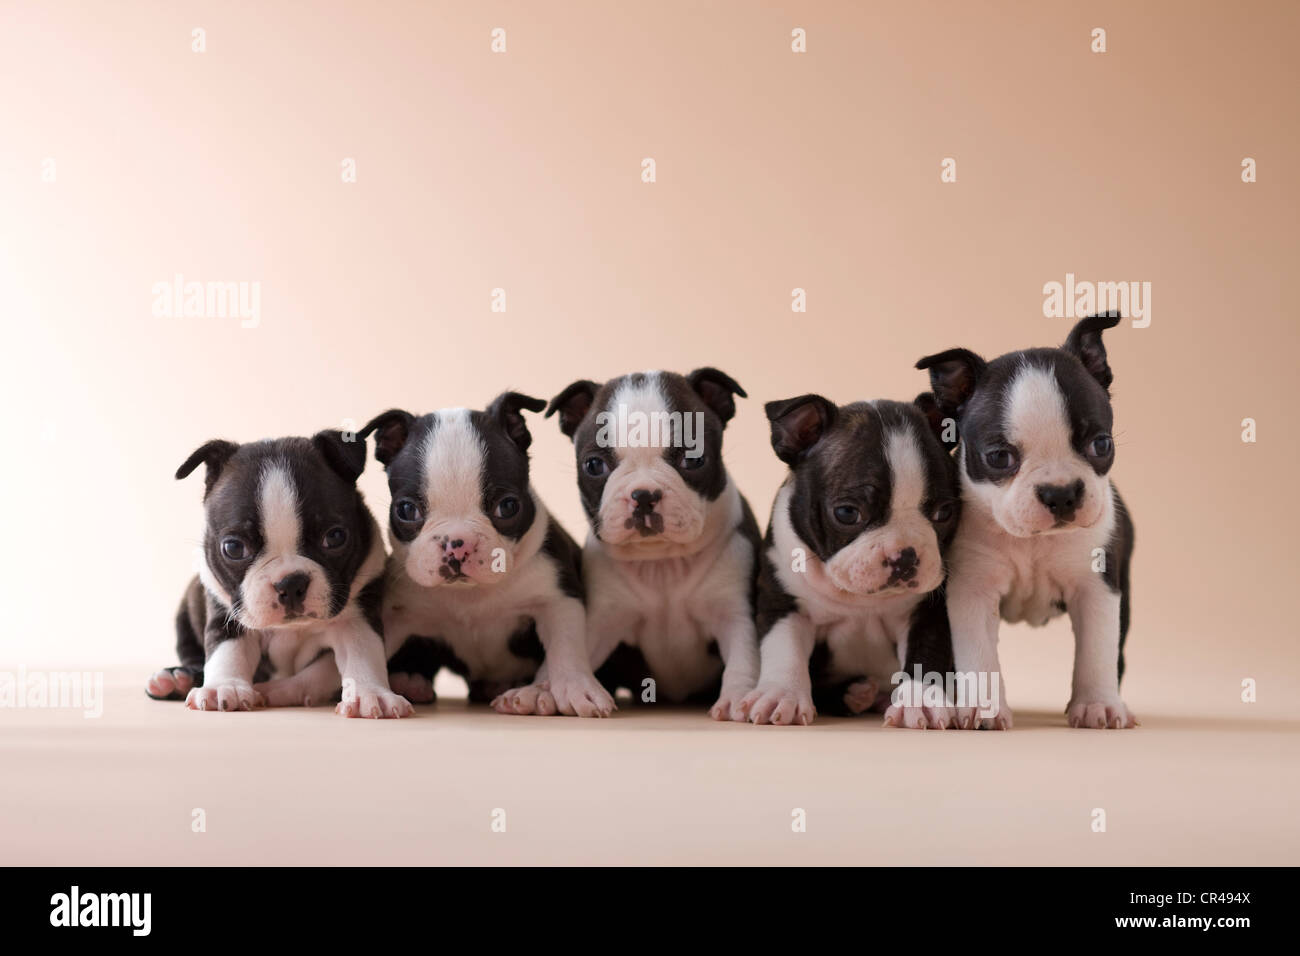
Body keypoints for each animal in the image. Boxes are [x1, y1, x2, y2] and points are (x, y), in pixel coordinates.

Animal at [141, 431, 408, 717]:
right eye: (233, 548)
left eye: (335, 537)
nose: (290, 584)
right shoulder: (228, 609)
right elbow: (227, 649)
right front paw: (224, 687)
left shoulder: (356, 614)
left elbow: (363, 650)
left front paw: (371, 693)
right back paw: (176, 679)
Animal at [361, 390, 613, 717]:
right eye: (406, 510)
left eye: (508, 506)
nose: (457, 543)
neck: (472, 594)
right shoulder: (397, 612)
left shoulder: (558, 597)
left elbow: (566, 645)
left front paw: (575, 688)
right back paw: (410, 680)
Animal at [546, 369, 759, 723]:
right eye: (594, 466)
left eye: (694, 459)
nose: (644, 494)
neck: (662, 563)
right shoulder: (602, 619)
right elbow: (572, 651)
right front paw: (540, 691)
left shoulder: (735, 613)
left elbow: (744, 657)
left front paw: (738, 698)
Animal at [743, 395, 967, 723]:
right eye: (847, 513)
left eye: (944, 513)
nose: (905, 555)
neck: (860, 600)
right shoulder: (783, 603)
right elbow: (784, 649)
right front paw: (782, 695)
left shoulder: (928, 610)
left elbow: (926, 654)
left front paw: (921, 701)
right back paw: (854, 694)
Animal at [915, 314, 1138, 733]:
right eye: (999, 457)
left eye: (1101, 444)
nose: (1060, 493)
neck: (1034, 541)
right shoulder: (972, 590)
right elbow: (979, 655)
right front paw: (983, 709)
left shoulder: (1096, 587)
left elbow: (1097, 650)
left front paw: (1097, 705)